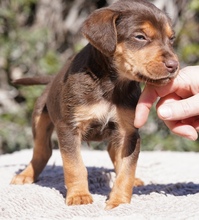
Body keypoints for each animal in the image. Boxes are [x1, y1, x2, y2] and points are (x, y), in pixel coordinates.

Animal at [10, 0, 179, 210]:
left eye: (171, 39)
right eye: (140, 37)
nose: (174, 65)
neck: (111, 85)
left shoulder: (129, 132)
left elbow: (126, 170)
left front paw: (119, 201)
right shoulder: (69, 128)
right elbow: (74, 166)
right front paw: (79, 196)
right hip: (40, 117)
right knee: (42, 151)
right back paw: (25, 175)